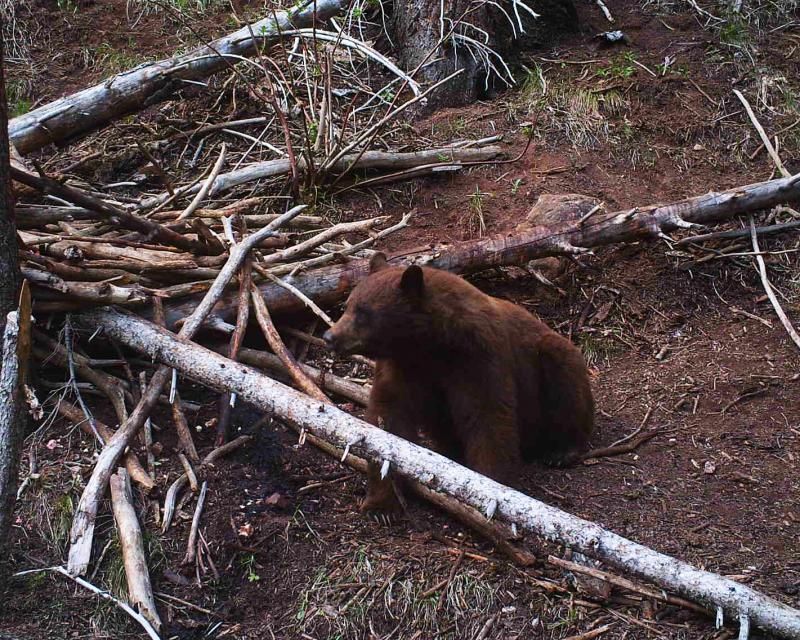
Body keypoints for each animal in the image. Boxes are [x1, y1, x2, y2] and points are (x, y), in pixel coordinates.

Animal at [324, 251, 592, 516]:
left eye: (363, 313)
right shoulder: (401, 366)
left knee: (566, 383)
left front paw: (490, 487)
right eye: (348, 305)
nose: (330, 336)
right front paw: (381, 504)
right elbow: (389, 419)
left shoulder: (478, 357)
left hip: (551, 359)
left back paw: (563, 451)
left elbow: (488, 416)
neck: (431, 345)